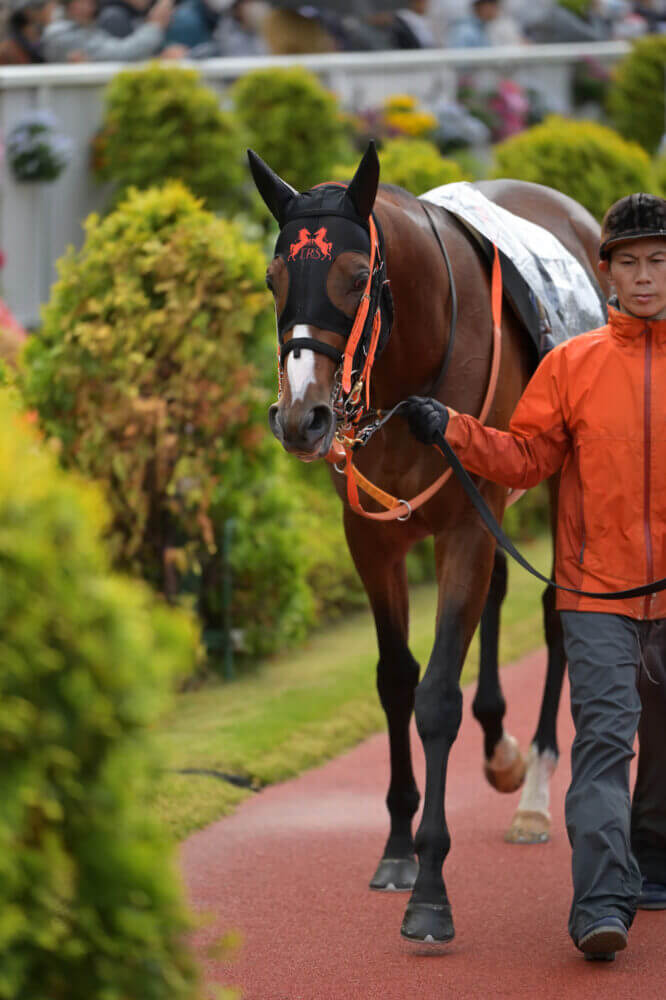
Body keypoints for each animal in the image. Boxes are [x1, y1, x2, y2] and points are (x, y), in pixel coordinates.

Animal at [248, 143, 608, 944]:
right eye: (273, 277)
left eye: (357, 277)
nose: (303, 418)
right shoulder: (370, 536)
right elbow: (395, 680)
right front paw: (396, 849)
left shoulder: (465, 526)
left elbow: (439, 693)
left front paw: (432, 889)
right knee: (502, 596)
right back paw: (501, 749)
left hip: (562, 475)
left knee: (558, 610)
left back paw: (535, 791)